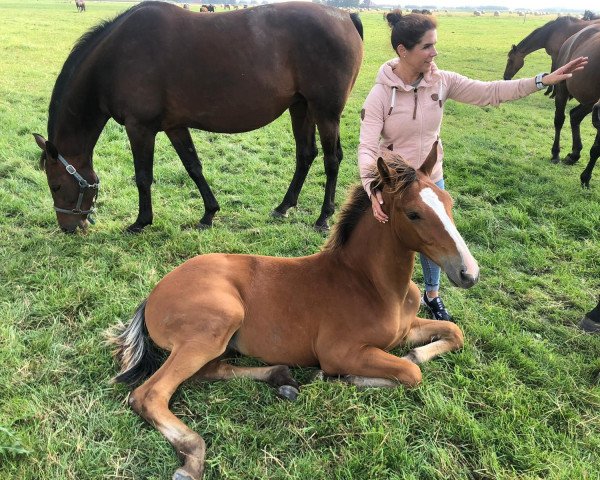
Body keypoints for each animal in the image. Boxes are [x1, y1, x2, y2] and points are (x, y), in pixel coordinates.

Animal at [35, 0, 364, 232]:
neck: (114, 59)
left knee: (331, 159)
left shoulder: (140, 128)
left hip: (326, 112)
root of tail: (345, 16)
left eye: (56, 186)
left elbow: (143, 177)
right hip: (301, 107)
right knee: (305, 154)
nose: (69, 227)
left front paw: (141, 222)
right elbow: (193, 167)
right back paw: (284, 206)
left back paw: (323, 217)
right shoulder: (174, 126)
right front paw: (209, 213)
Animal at [109, 142, 482, 480]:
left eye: (448, 203)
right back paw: (192, 456)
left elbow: (453, 333)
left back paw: (282, 379)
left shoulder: (406, 329)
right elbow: (410, 373)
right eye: (414, 213)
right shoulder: (339, 352)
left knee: (210, 371)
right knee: (149, 395)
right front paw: (337, 376)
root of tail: (152, 296)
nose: (469, 273)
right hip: (218, 323)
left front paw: (416, 353)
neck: (371, 285)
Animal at [548, 25, 600, 186]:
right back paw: (556, 154)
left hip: (590, 102)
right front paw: (585, 177)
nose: (599, 110)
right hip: (563, 89)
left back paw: (574, 154)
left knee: (575, 116)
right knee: (559, 119)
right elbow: (596, 148)